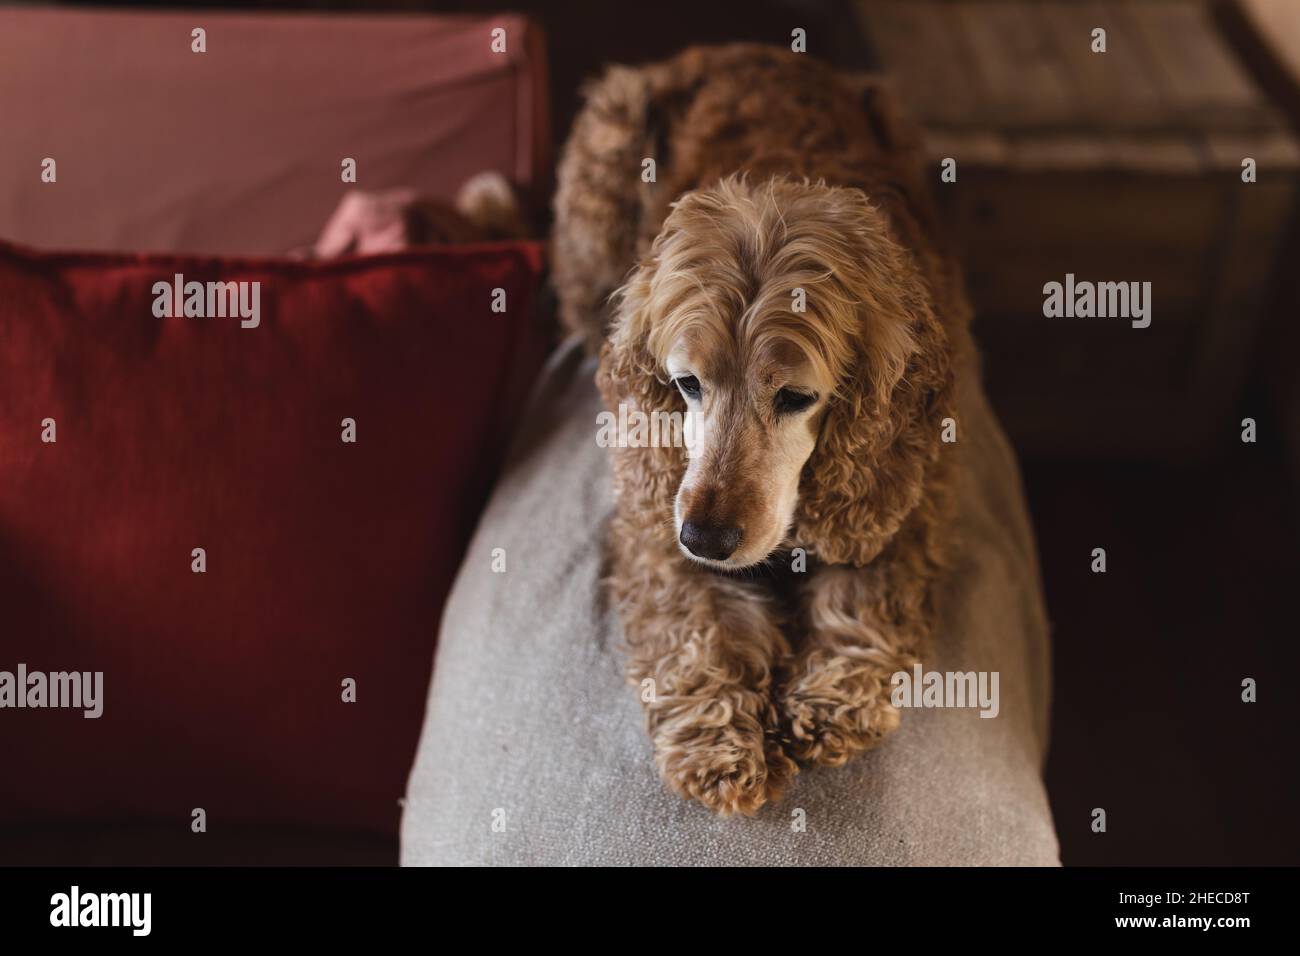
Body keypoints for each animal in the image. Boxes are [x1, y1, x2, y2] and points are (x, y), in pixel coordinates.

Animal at [551, 41, 977, 811]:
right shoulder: (659, 525)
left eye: (797, 396)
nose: (709, 538)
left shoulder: (909, 503)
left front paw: (832, 701)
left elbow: (870, 597)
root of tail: (742, 47)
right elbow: (693, 622)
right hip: (611, 133)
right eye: (686, 384)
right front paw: (720, 742)